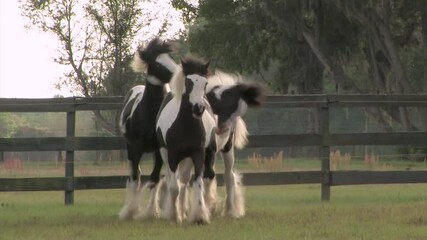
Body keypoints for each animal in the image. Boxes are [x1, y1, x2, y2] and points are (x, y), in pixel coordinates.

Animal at [118, 38, 178, 220]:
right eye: (157, 64)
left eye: (171, 58)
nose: (179, 73)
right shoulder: (137, 148)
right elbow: (135, 178)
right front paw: (130, 211)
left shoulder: (158, 150)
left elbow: (154, 179)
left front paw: (152, 211)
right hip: (130, 149)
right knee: (133, 176)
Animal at [156, 57, 217, 224]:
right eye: (188, 82)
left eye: (205, 83)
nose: (198, 108)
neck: (185, 126)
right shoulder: (172, 156)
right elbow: (173, 187)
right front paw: (174, 216)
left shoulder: (197, 154)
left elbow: (197, 182)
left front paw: (200, 216)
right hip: (165, 154)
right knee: (174, 181)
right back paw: (177, 212)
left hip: (200, 155)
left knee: (184, 181)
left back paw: (184, 211)